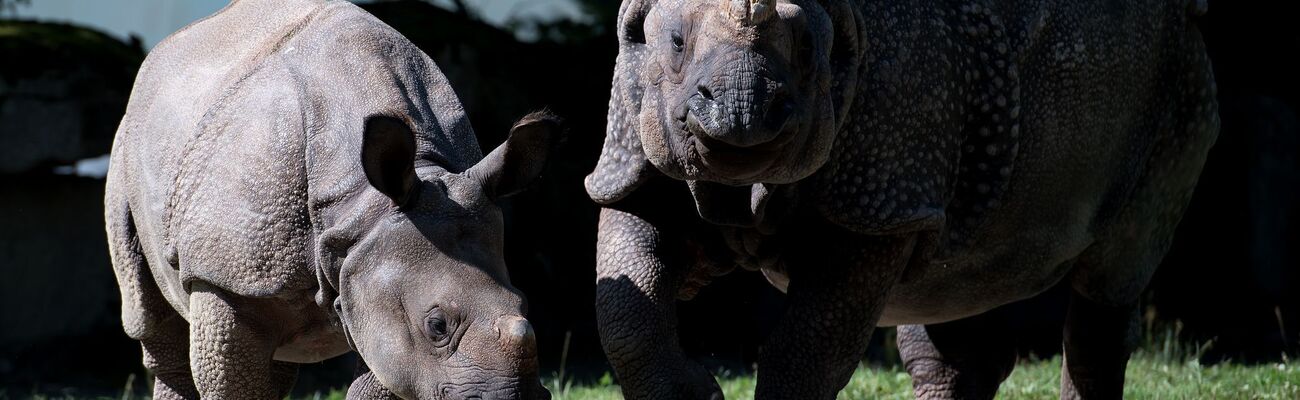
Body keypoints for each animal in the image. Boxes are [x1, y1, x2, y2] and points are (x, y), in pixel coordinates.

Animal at [105, 1, 559, 397]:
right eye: (437, 326)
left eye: (524, 302)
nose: (512, 398)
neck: (364, 206)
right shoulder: (227, 277)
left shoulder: (371, 275)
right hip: (127, 143)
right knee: (149, 315)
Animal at [590, 0, 1216, 397]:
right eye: (674, 42)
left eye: (808, 48)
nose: (741, 115)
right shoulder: (632, 152)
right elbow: (625, 309)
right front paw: (696, 395)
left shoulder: (881, 202)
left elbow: (809, 345)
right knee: (961, 280)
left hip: (1179, 78)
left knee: (1112, 274)